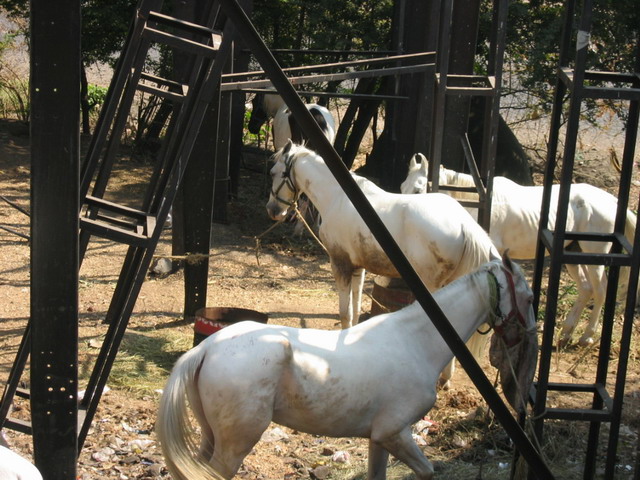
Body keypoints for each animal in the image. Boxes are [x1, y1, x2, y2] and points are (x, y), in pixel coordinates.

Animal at [156, 254, 538, 480]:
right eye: (531, 298)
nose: (527, 338)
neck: (416, 342)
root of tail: (207, 348)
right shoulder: (395, 433)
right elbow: (428, 471)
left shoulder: (379, 439)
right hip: (234, 444)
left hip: (211, 437)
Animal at [266, 141, 502, 388]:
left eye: (273, 172)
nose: (273, 210)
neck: (338, 197)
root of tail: (464, 224)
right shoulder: (358, 267)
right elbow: (356, 309)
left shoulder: (340, 264)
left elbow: (345, 313)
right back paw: (446, 377)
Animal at [401, 153, 638, 347]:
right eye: (404, 186)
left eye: (418, 189)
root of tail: (614, 202)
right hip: (574, 253)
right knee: (586, 288)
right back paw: (566, 334)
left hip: (595, 256)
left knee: (600, 290)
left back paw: (586, 336)